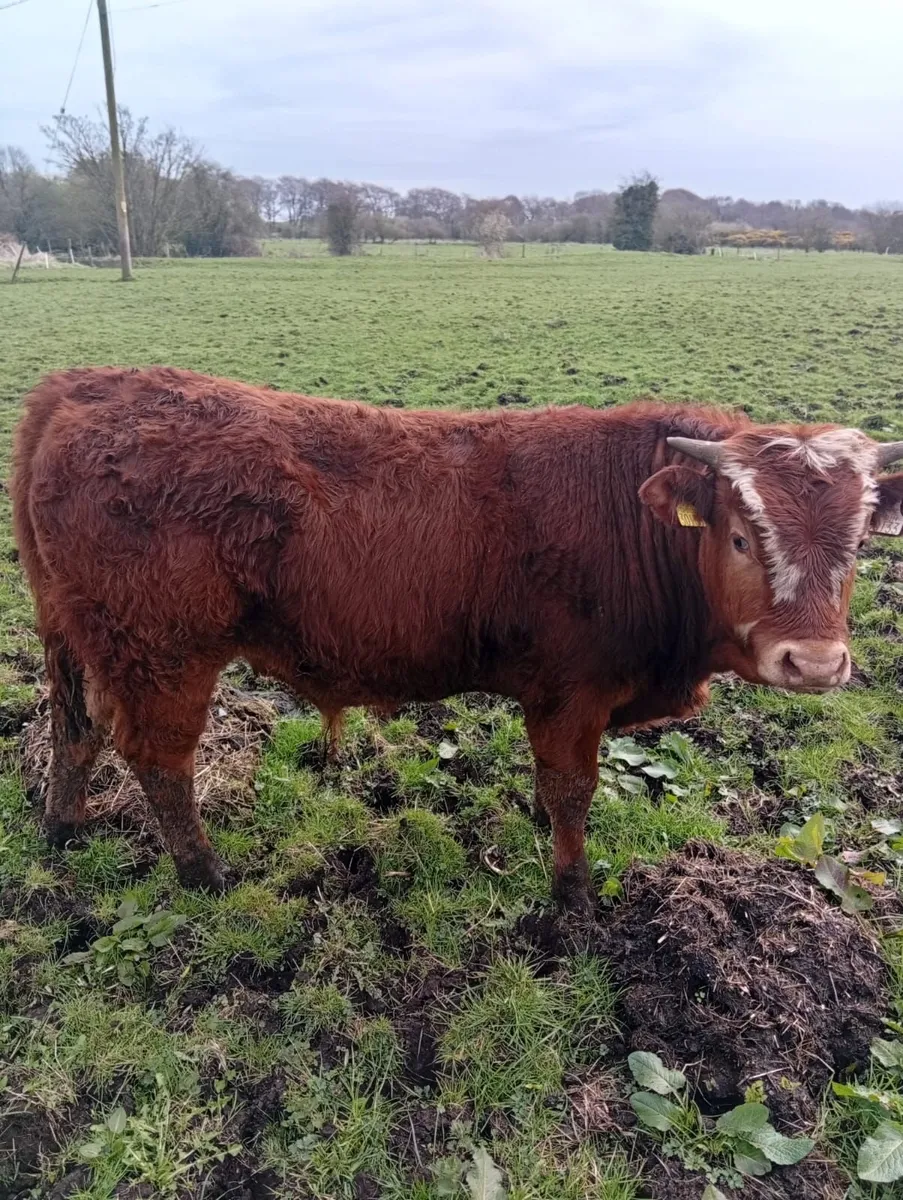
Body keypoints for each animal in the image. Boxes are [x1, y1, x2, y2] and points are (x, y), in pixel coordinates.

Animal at [12, 367, 903, 914]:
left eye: (860, 544)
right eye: (743, 539)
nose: (813, 663)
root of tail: (82, 385)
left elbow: (553, 787)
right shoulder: (571, 691)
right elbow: (571, 789)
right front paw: (572, 895)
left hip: (88, 640)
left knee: (76, 729)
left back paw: (64, 828)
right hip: (163, 653)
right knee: (157, 759)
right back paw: (203, 873)